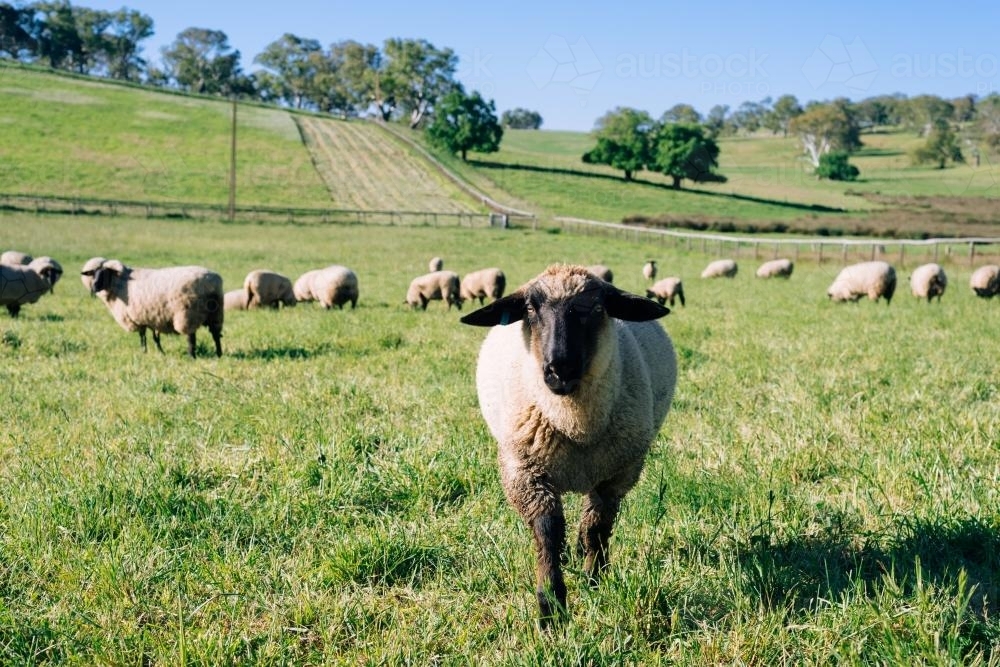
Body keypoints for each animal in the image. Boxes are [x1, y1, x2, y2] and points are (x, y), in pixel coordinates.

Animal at [82, 258, 224, 358]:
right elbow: (153, 338)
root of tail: (211, 283)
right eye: (93, 274)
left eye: (105, 273)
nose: (95, 286)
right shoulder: (150, 317)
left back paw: (191, 356)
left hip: (188, 314)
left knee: (191, 337)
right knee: (216, 335)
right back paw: (219, 354)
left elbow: (143, 337)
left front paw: (144, 351)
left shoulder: (137, 318)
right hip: (215, 313)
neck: (120, 283)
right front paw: (158, 352)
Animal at [460, 264, 677, 626]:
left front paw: (594, 579)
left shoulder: (615, 476)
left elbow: (596, 528)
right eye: (530, 308)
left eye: (597, 307)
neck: (574, 425)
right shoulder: (525, 474)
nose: (560, 368)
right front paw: (551, 607)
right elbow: (548, 533)